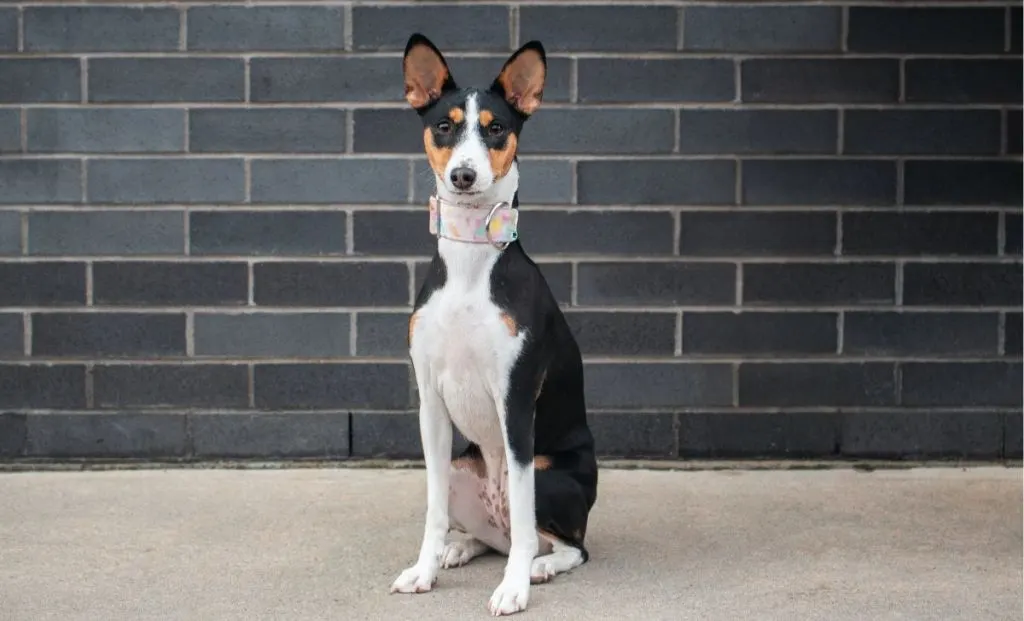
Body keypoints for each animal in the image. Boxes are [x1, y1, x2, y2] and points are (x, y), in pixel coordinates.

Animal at [389, 35, 598, 618]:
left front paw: (513, 588)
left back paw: (540, 566)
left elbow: (525, 518)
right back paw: (462, 548)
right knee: (495, 536)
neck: (469, 262)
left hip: (551, 473)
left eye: (496, 128)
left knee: (560, 542)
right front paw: (425, 570)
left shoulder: (516, 400)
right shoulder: (431, 403)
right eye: (445, 125)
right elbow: (433, 512)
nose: (464, 175)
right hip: (465, 470)